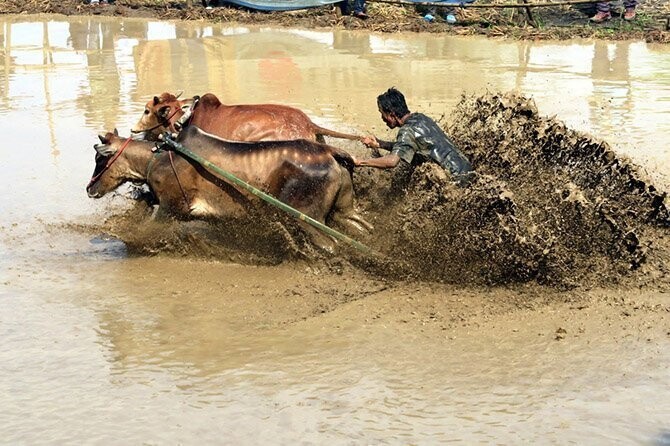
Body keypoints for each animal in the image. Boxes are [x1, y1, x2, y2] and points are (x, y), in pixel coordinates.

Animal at [86, 126, 372, 251]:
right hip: (344, 211)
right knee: (363, 229)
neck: (155, 158)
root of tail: (332, 152)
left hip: (306, 218)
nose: (89, 189)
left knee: (330, 244)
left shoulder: (170, 208)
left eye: (100, 157)